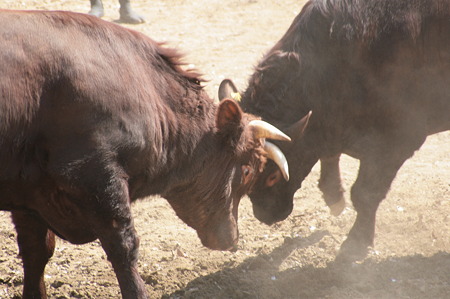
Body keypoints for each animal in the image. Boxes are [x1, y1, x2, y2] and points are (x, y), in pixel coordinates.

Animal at [0, 8, 288, 298]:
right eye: (247, 170)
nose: (232, 239)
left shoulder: (30, 194)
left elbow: (37, 251)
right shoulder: (99, 179)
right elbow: (124, 249)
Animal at [221, 0, 450, 262]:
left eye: (273, 176)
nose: (266, 216)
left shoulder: (398, 140)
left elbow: (365, 193)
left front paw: (355, 243)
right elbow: (329, 154)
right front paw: (334, 196)